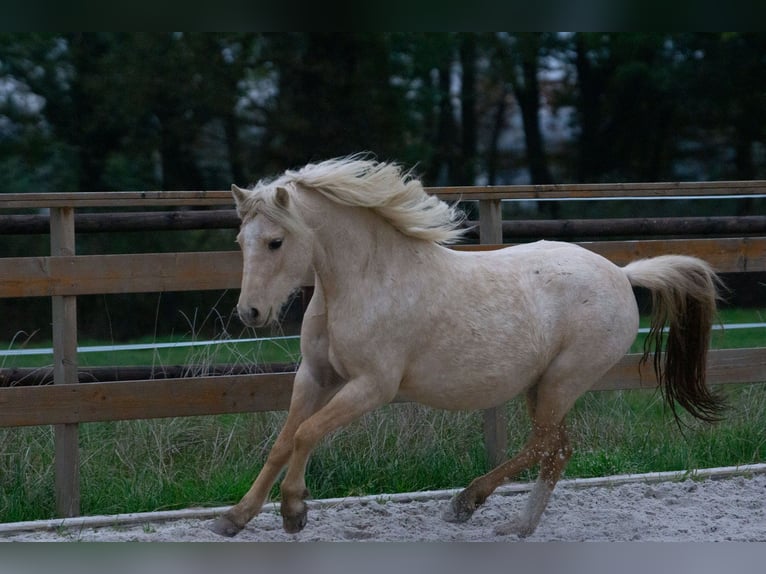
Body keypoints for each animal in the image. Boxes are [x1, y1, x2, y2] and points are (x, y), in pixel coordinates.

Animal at [210, 156, 728, 540]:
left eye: (276, 242)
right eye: (240, 240)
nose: (250, 313)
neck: (365, 281)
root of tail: (622, 273)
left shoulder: (372, 386)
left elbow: (305, 434)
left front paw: (294, 511)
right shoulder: (315, 376)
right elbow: (282, 442)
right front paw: (234, 517)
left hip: (563, 380)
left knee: (544, 445)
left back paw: (469, 504)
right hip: (541, 386)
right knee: (557, 450)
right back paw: (516, 524)